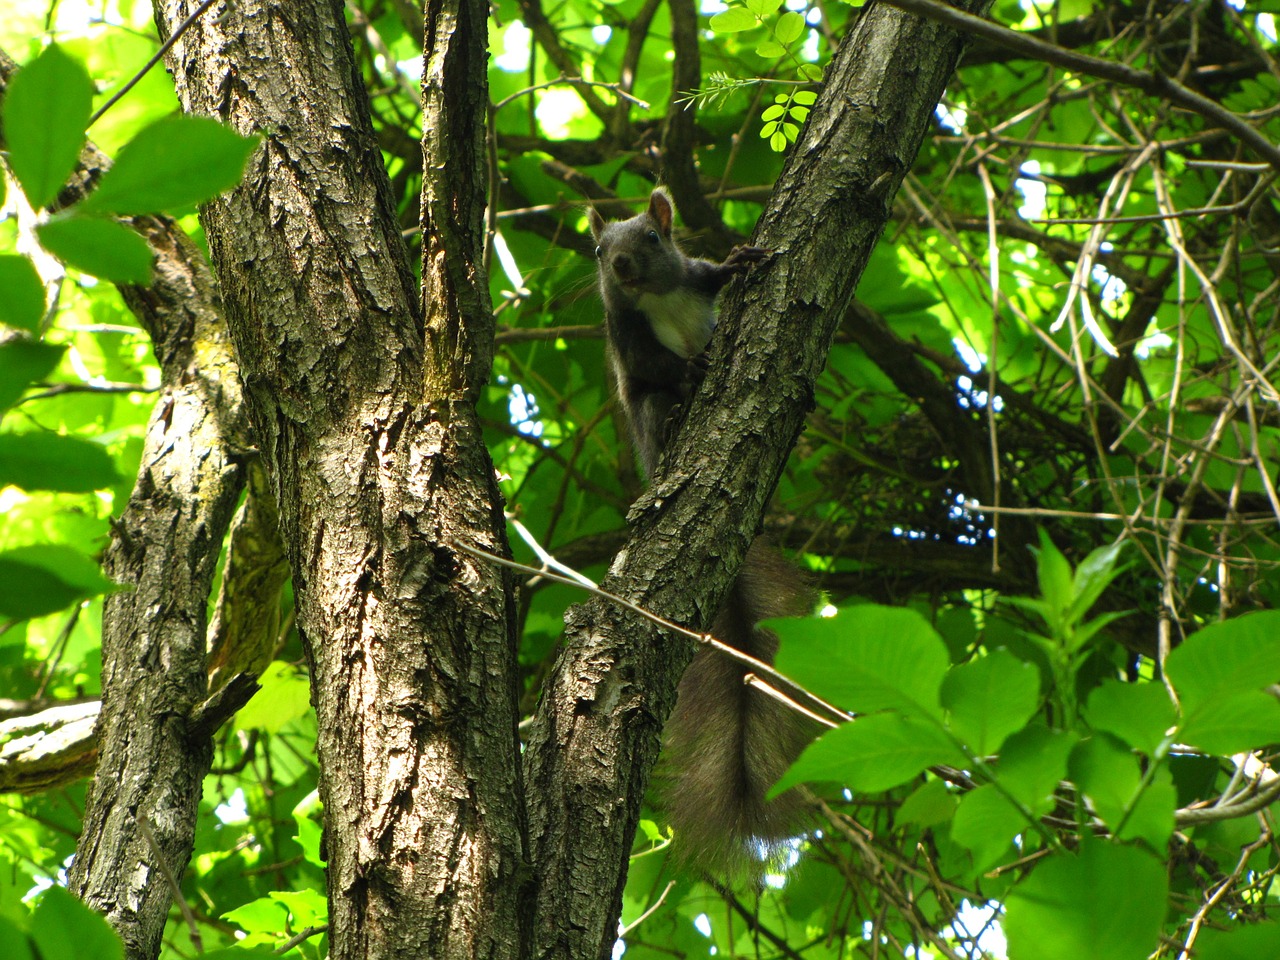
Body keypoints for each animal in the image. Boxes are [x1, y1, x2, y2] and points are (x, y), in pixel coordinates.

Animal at [586, 188, 808, 880]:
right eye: (597, 251)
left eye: (654, 239)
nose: (621, 267)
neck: (655, 299)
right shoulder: (627, 337)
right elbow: (654, 365)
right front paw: (692, 367)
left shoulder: (690, 278)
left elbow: (713, 276)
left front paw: (740, 259)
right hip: (649, 421)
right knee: (659, 401)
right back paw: (679, 406)